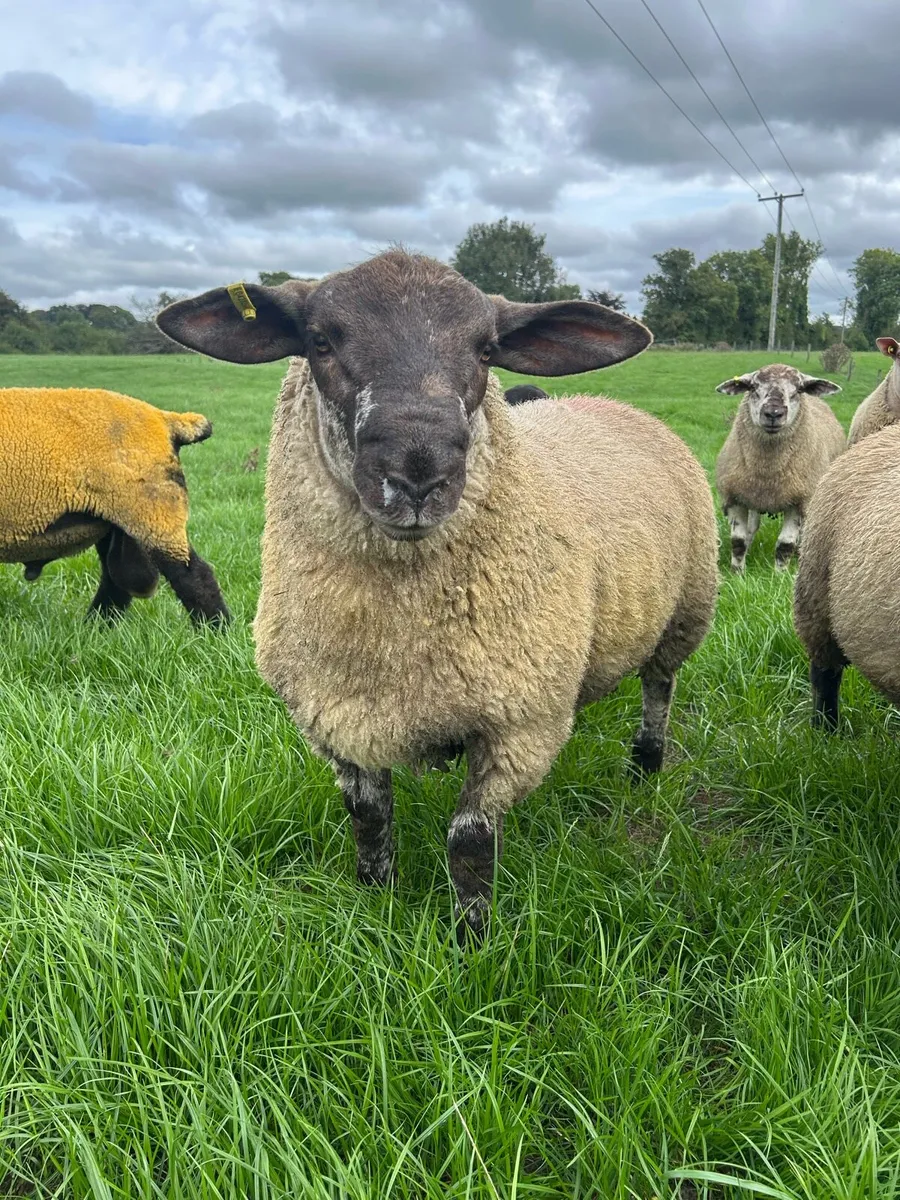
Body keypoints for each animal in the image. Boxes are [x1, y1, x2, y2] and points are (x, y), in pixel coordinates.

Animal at [0, 387, 229, 624]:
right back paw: (95, 626)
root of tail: (165, 418)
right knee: (116, 582)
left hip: (154, 512)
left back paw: (215, 630)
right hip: (116, 519)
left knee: (194, 575)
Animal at [156, 250, 718, 940]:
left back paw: (645, 764)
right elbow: (369, 819)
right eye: (320, 343)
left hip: (686, 610)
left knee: (659, 686)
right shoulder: (338, 717)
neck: (400, 637)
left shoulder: (517, 724)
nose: (419, 475)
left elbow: (470, 840)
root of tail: (608, 399)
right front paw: (375, 899)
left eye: (486, 351)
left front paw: (471, 938)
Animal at [714, 364, 844, 572]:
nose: (773, 413)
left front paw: (780, 574)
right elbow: (738, 541)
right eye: (753, 387)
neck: (768, 470)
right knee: (752, 527)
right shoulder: (734, 496)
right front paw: (737, 572)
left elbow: (785, 545)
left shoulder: (799, 501)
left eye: (798, 390)